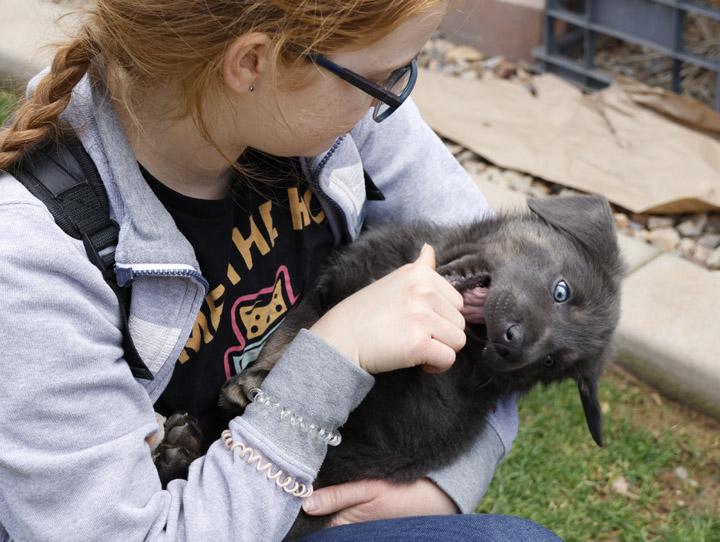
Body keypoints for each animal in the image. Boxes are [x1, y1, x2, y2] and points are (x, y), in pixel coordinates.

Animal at [156, 194, 624, 540]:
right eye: (561, 291)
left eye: (550, 361)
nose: (513, 349)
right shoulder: (329, 289)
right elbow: (296, 330)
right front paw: (256, 377)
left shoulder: (401, 425)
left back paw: (180, 450)